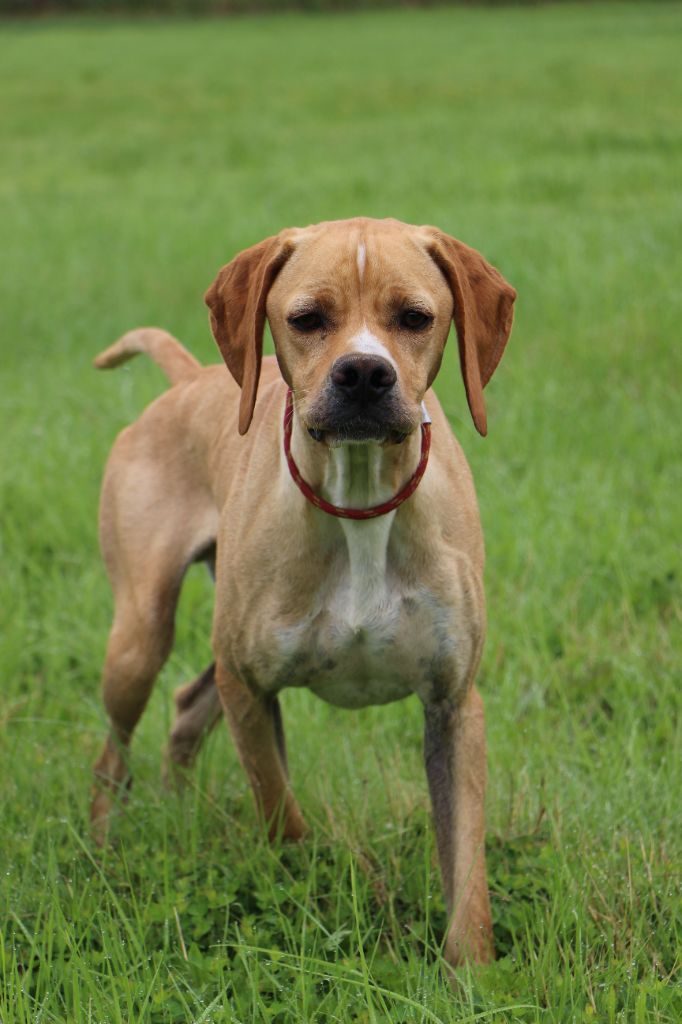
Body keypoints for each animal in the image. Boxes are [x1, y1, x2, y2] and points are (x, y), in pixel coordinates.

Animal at [90, 217, 516, 968]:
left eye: (415, 318)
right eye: (307, 319)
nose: (364, 372)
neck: (361, 499)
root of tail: (191, 378)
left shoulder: (455, 704)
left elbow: (467, 873)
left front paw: (473, 975)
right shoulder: (251, 688)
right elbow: (281, 813)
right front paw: (309, 885)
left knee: (188, 704)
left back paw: (178, 808)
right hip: (140, 639)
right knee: (115, 752)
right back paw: (106, 845)